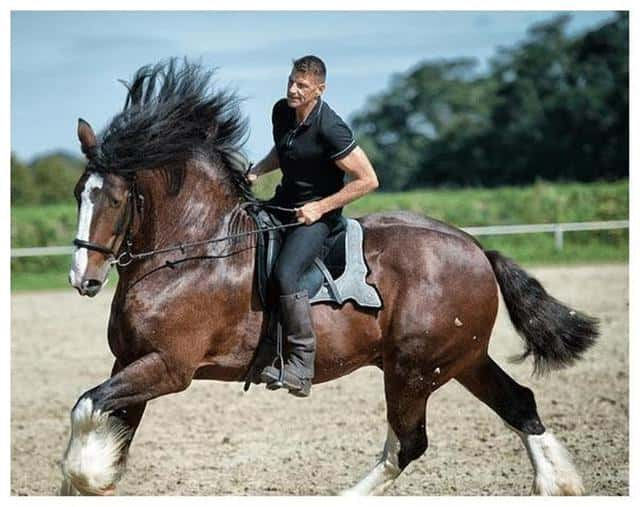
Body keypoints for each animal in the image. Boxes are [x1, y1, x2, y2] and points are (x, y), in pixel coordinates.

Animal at [60, 59, 600, 496]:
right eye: (78, 192)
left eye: (114, 199)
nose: (82, 279)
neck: (195, 250)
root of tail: (475, 250)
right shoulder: (131, 361)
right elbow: (102, 419)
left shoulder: (169, 367)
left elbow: (86, 409)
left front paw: (86, 476)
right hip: (459, 360)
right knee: (519, 404)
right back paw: (559, 484)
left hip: (414, 371)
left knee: (407, 444)